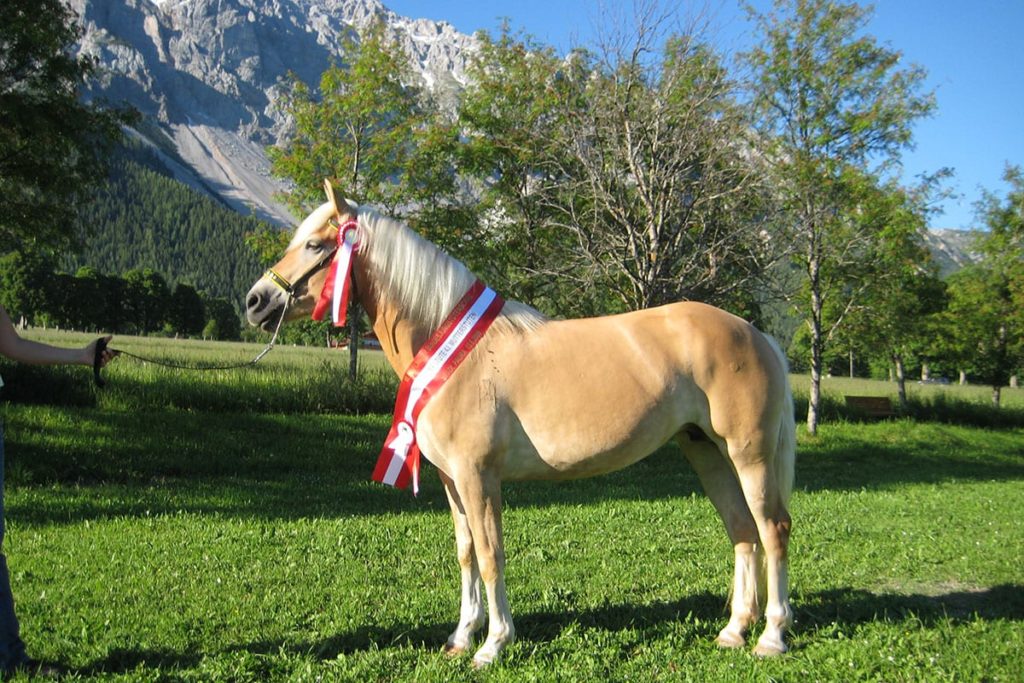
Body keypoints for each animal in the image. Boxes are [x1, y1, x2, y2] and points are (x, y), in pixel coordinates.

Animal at [243, 181, 794, 667]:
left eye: (316, 244)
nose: (256, 301)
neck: (452, 347)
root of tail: (755, 334)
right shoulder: (451, 479)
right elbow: (466, 553)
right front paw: (461, 637)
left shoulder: (478, 476)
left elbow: (491, 555)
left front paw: (493, 644)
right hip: (704, 450)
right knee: (742, 530)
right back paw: (734, 631)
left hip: (749, 454)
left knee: (773, 529)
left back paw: (771, 636)